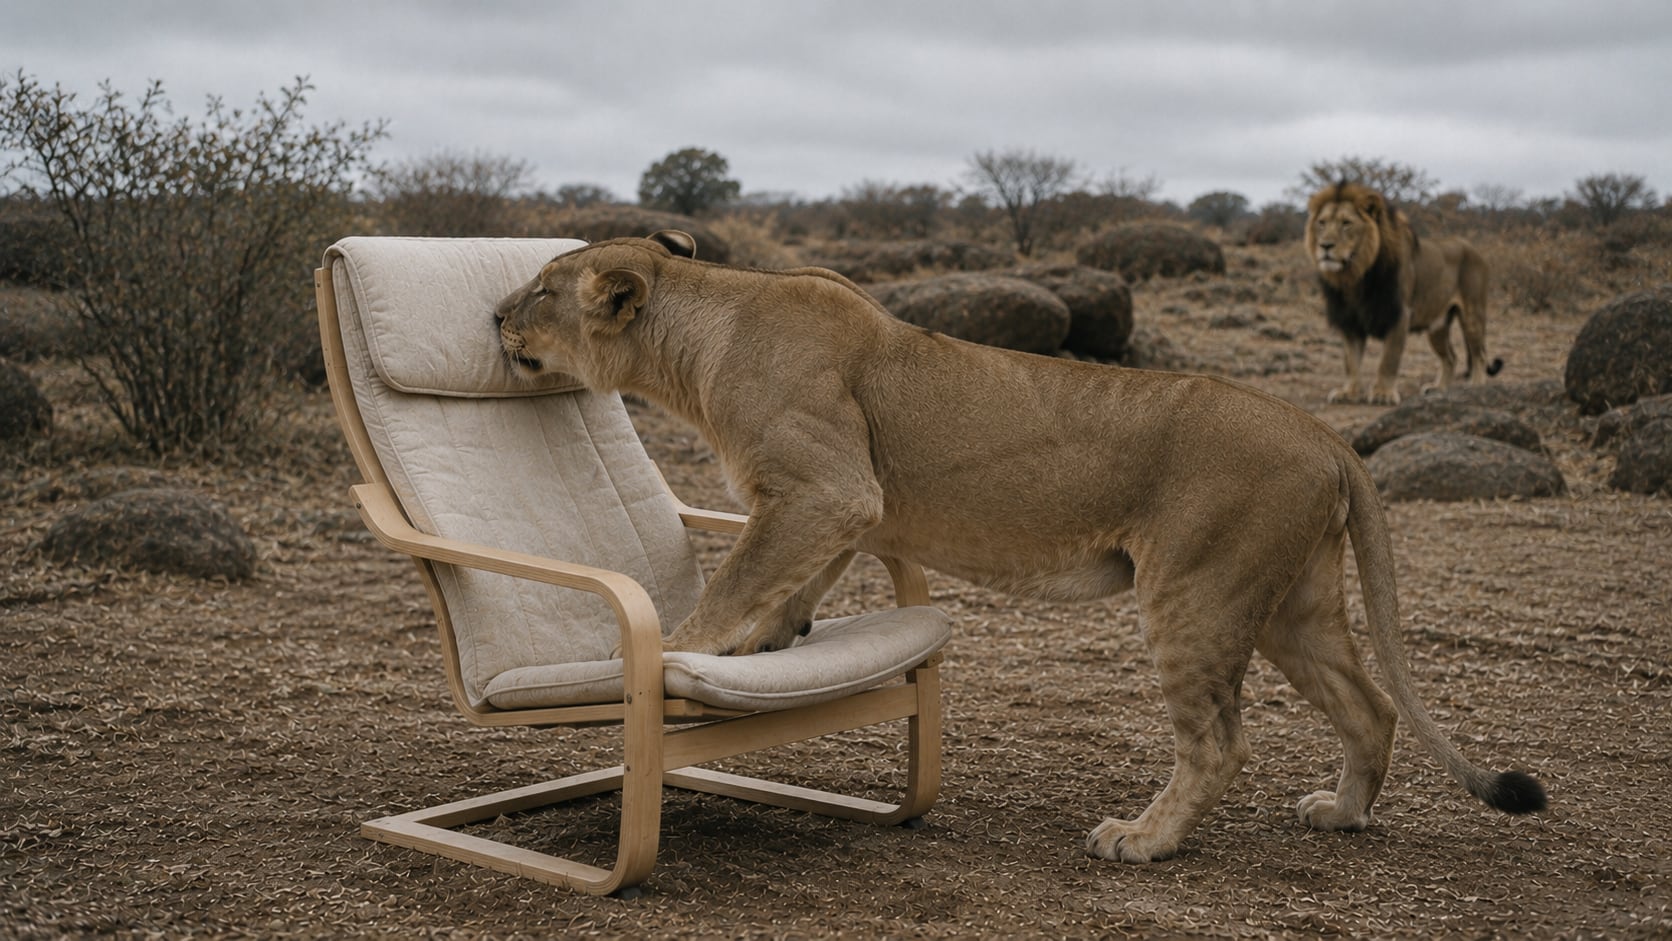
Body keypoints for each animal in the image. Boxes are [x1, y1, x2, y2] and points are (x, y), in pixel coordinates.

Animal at [495, 231, 1545, 863]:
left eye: (542, 289)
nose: (495, 316)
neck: (701, 332)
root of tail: (1325, 432)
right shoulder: (840, 503)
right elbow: (788, 583)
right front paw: (766, 643)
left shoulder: (829, 484)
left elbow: (734, 582)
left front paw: (680, 655)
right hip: (1296, 604)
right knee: (1371, 706)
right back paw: (1343, 811)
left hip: (1197, 590)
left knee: (1220, 741)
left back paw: (1143, 839)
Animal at [1308, 181, 1502, 405]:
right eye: (1322, 223)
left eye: (1346, 223)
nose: (1325, 245)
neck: (1355, 277)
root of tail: (1474, 249)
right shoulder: (1350, 322)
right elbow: (1351, 361)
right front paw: (1349, 392)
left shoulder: (1398, 315)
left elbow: (1388, 359)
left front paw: (1383, 394)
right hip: (1438, 325)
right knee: (1451, 357)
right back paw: (1439, 388)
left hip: (1472, 313)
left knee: (1480, 354)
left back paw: (1476, 386)